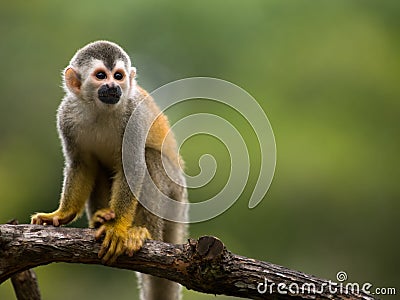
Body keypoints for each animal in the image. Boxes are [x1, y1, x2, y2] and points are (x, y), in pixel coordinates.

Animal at [30, 40, 188, 300]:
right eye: (101, 76)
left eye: (119, 76)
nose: (114, 86)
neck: (100, 109)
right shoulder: (65, 115)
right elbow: (81, 164)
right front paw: (61, 214)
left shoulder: (134, 114)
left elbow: (133, 166)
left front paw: (117, 228)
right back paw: (100, 218)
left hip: (175, 191)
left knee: (150, 158)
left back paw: (143, 232)